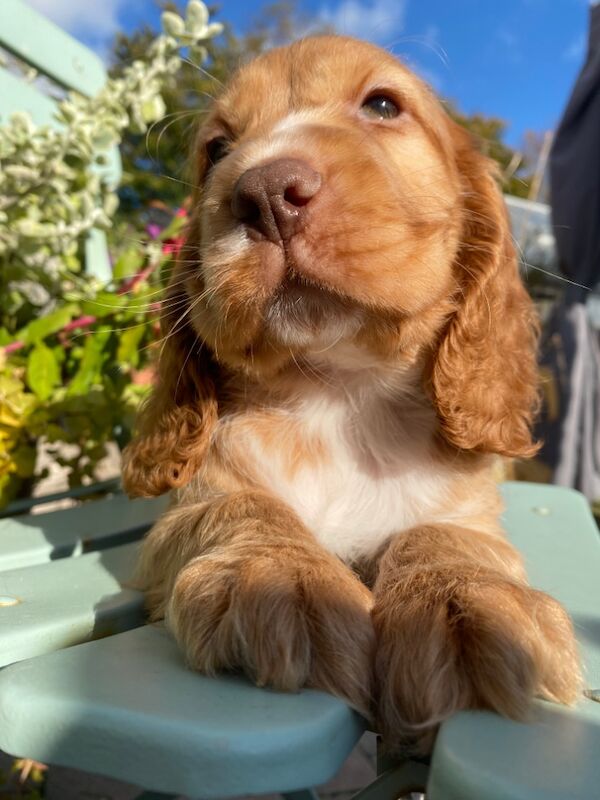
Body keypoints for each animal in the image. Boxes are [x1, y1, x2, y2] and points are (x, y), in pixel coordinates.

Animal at [123, 34, 580, 752]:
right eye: (216, 150)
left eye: (383, 105)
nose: (264, 192)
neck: (341, 396)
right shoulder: (193, 499)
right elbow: (240, 507)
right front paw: (281, 576)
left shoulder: (470, 507)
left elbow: (444, 534)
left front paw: (468, 602)